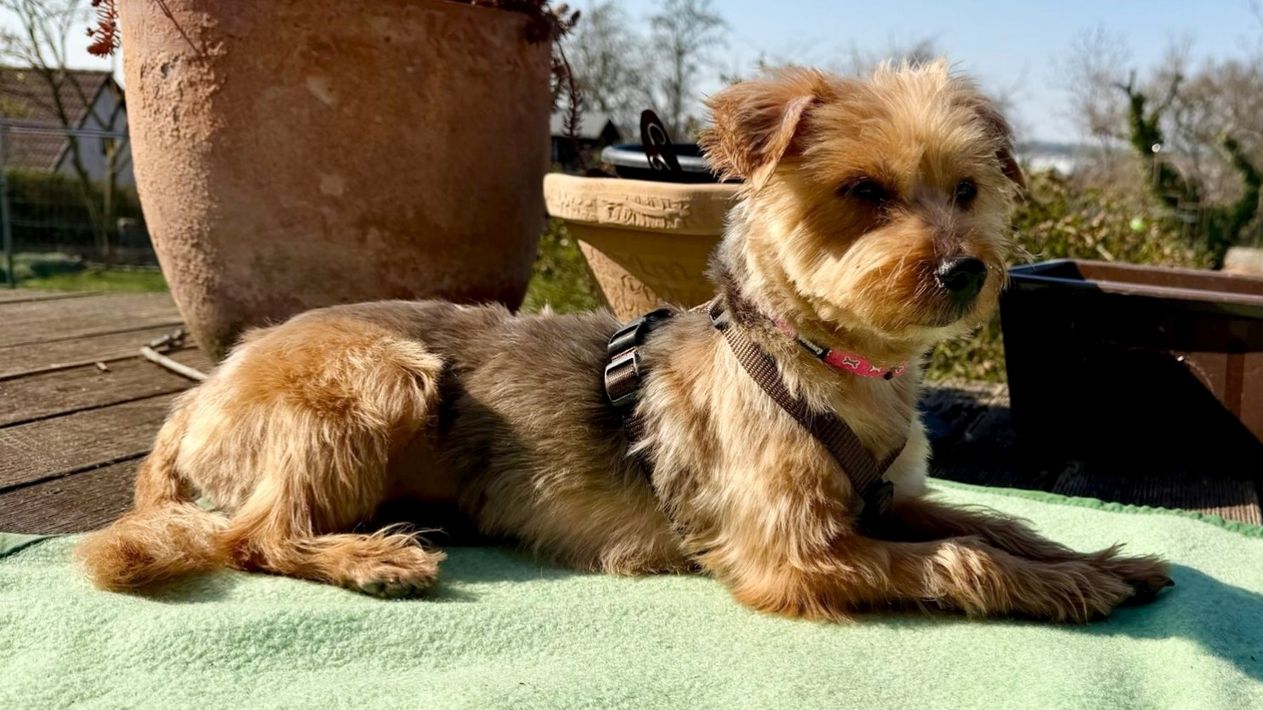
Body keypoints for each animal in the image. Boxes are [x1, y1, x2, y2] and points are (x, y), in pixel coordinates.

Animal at [78, 62, 1171, 622]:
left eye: (968, 190)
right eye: (865, 191)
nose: (964, 270)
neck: (830, 363)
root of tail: (202, 388)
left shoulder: (890, 500)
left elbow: (995, 524)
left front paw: (1099, 557)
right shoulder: (789, 553)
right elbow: (963, 559)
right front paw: (1073, 586)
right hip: (382, 376)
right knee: (253, 534)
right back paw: (370, 561)